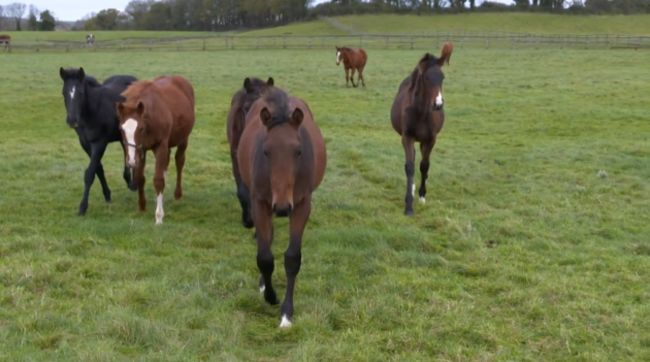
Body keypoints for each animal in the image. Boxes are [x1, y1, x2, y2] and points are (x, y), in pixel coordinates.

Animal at [58, 67, 139, 216]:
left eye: (81, 93)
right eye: (63, 93)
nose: (72, 120)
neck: (93, 110)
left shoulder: (99, 143)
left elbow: (89, 173)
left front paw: (82, 208)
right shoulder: (85, 144)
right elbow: (98, 169)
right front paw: (107, 195)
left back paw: (133, 184)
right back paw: (128, 180)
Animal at [116, 75, 194, 225]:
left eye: (141, 128)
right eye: (122, 129)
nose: (131, 161)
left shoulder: (160, 145)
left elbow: (158, 180)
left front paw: (159, 216)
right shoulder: (141, 149)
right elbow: (140, 178)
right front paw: (142, 207)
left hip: (183, 139)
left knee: (179, 161)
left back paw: (177, 195)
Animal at [235, 86, 326, 330]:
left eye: (298, 151)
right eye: (266, 151)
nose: (283, 207)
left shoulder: (302, 204)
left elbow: (292, 258)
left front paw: (286, 314)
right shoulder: (260, 202)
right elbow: (265, 257)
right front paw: (271, 295)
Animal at [390, 43, 450, 216]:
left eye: (442, 77)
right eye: (427, 78)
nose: (438, 104)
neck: (421, 113)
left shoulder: (431, 139)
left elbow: (424, 166)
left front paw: (422, 196)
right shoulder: (407, 137)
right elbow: (410, 167)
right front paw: (408, 206)